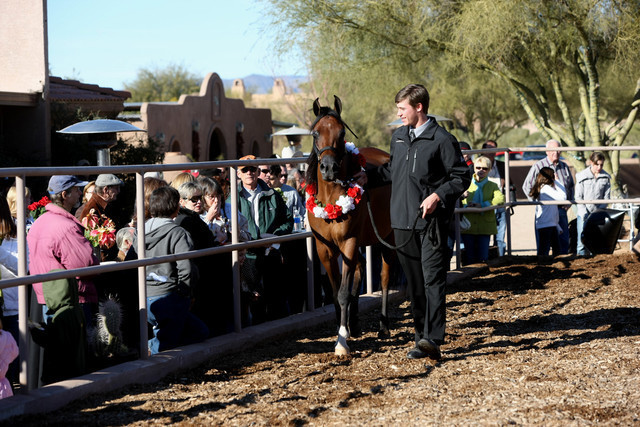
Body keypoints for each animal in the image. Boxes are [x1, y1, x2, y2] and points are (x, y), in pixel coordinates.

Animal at [306, 96, 395, 356]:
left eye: (342, 131)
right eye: (315, 133)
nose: (329, 167)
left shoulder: (348, 242)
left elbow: (344, 293)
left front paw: (341, 342)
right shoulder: (325, 249)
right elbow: (336, 294)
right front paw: (342, 328)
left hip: (388, 238)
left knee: (384, 278)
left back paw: (383, 327)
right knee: (359, 270)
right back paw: (354, 325)